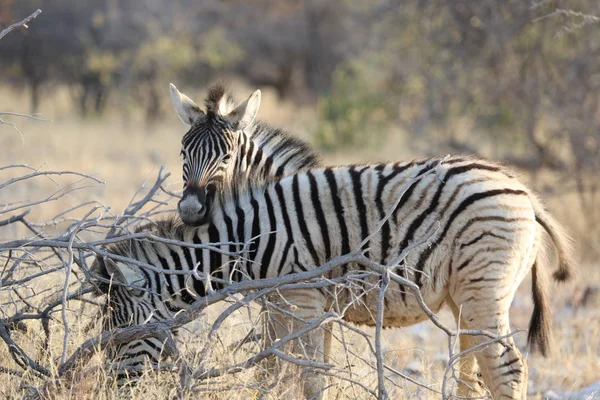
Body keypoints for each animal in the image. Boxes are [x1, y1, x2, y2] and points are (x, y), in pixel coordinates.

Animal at [90, 155, 572, 398]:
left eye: (122, 331)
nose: (109, 388)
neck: (246, 241)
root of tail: (524, 191)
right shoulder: (284, 303)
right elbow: (277, 370)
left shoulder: (302, 298)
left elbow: (308, 374)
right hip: (462, 297)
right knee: (476, 371)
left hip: (482, 288)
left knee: (507, 368)